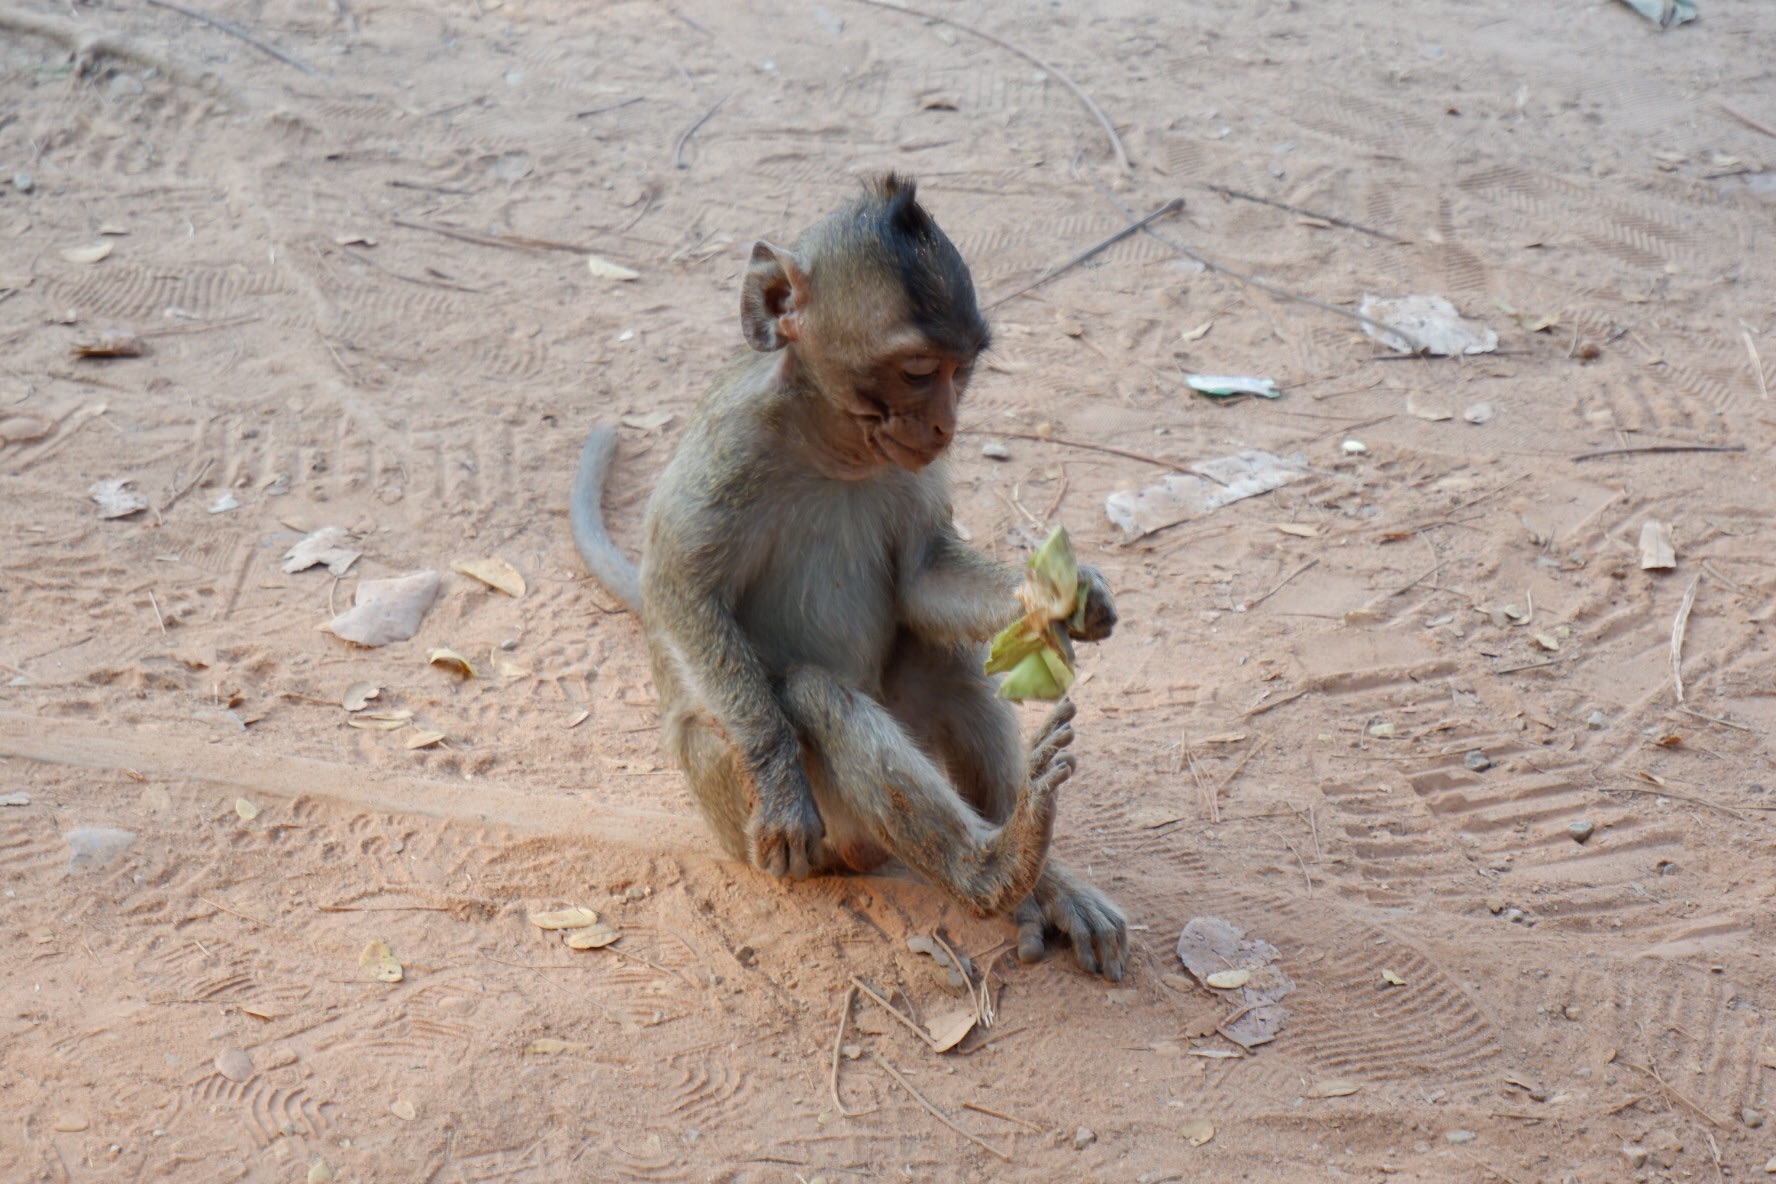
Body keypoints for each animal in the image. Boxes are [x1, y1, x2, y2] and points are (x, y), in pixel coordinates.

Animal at [575, 171, 1129, 979]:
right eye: (919, 371)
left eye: (963, 371)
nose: (947, 426)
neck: (831, 444)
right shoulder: (730, 444)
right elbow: (684, 592)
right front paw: (778, 777)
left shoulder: (914, 470)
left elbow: (924, 580)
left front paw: (1064, 599)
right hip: (754, 813)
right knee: (812, 696)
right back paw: (995, 868)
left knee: (942, 666)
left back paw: (1041, 876)